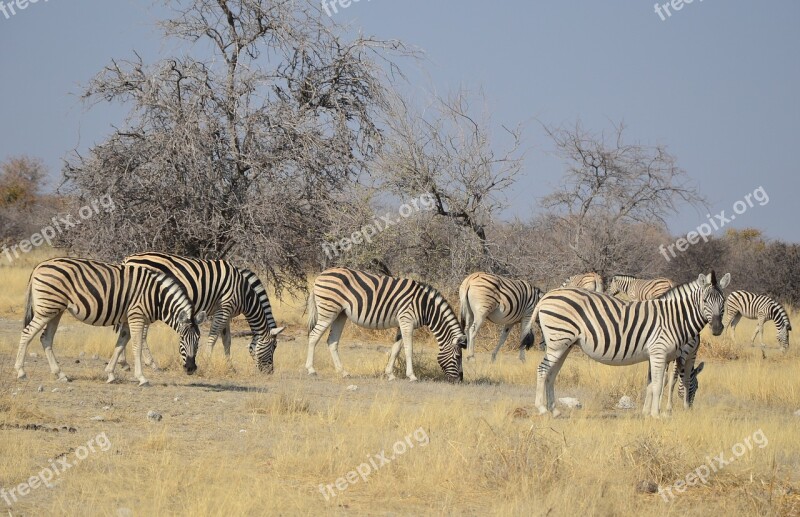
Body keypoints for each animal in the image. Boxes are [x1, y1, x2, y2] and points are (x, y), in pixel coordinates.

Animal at [14, 256, 206, 384]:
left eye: (198, 341)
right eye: (182, 340)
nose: (191, 368)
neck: (156, 297)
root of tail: (39, 265)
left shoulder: (127, 319)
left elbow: (120, 344)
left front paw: (111, 374)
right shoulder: (136, 316)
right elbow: (136, 345)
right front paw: (141, 377)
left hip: (56, 310)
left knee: (45, 338)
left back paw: (60, 374)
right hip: (47, 308)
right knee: (27, 333)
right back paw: (21, 371)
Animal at [117, 251, 282, 368]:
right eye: (274, 347)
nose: (269, 372)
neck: (244, 292)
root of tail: (127, 259)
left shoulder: (226, 312)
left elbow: (227, 340)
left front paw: (229, 366)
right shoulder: (224, 308)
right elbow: (213, 336)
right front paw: (206, 360)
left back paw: (124, 362)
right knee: (141, 333)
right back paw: (150, 363)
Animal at [306, 268, 468, 380]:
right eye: (458, 357)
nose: (460, 380)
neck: (426, 306)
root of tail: (320, 275)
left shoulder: (402, 323)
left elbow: (396, 349)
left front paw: (390, 374)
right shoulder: (407, 321)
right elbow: (408, 349)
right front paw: (412, 376)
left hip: (340, 314)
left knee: (332, 341)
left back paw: (344, 372)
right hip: (328, 311)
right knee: (313, 336)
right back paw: (311, 370)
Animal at [528, 270, 728, 416]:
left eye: (724, 301)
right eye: (704, 300)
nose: (717, 328)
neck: (673, 318)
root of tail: (548, 296)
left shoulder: (656, 355)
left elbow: (652, 384)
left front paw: (647, 413)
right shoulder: (660, 353)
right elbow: (660, 384)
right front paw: (657, 414)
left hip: (564, 344)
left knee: (551, 373)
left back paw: (554, 410)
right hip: (558, 342)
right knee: (543, 370)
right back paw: (542, 409)